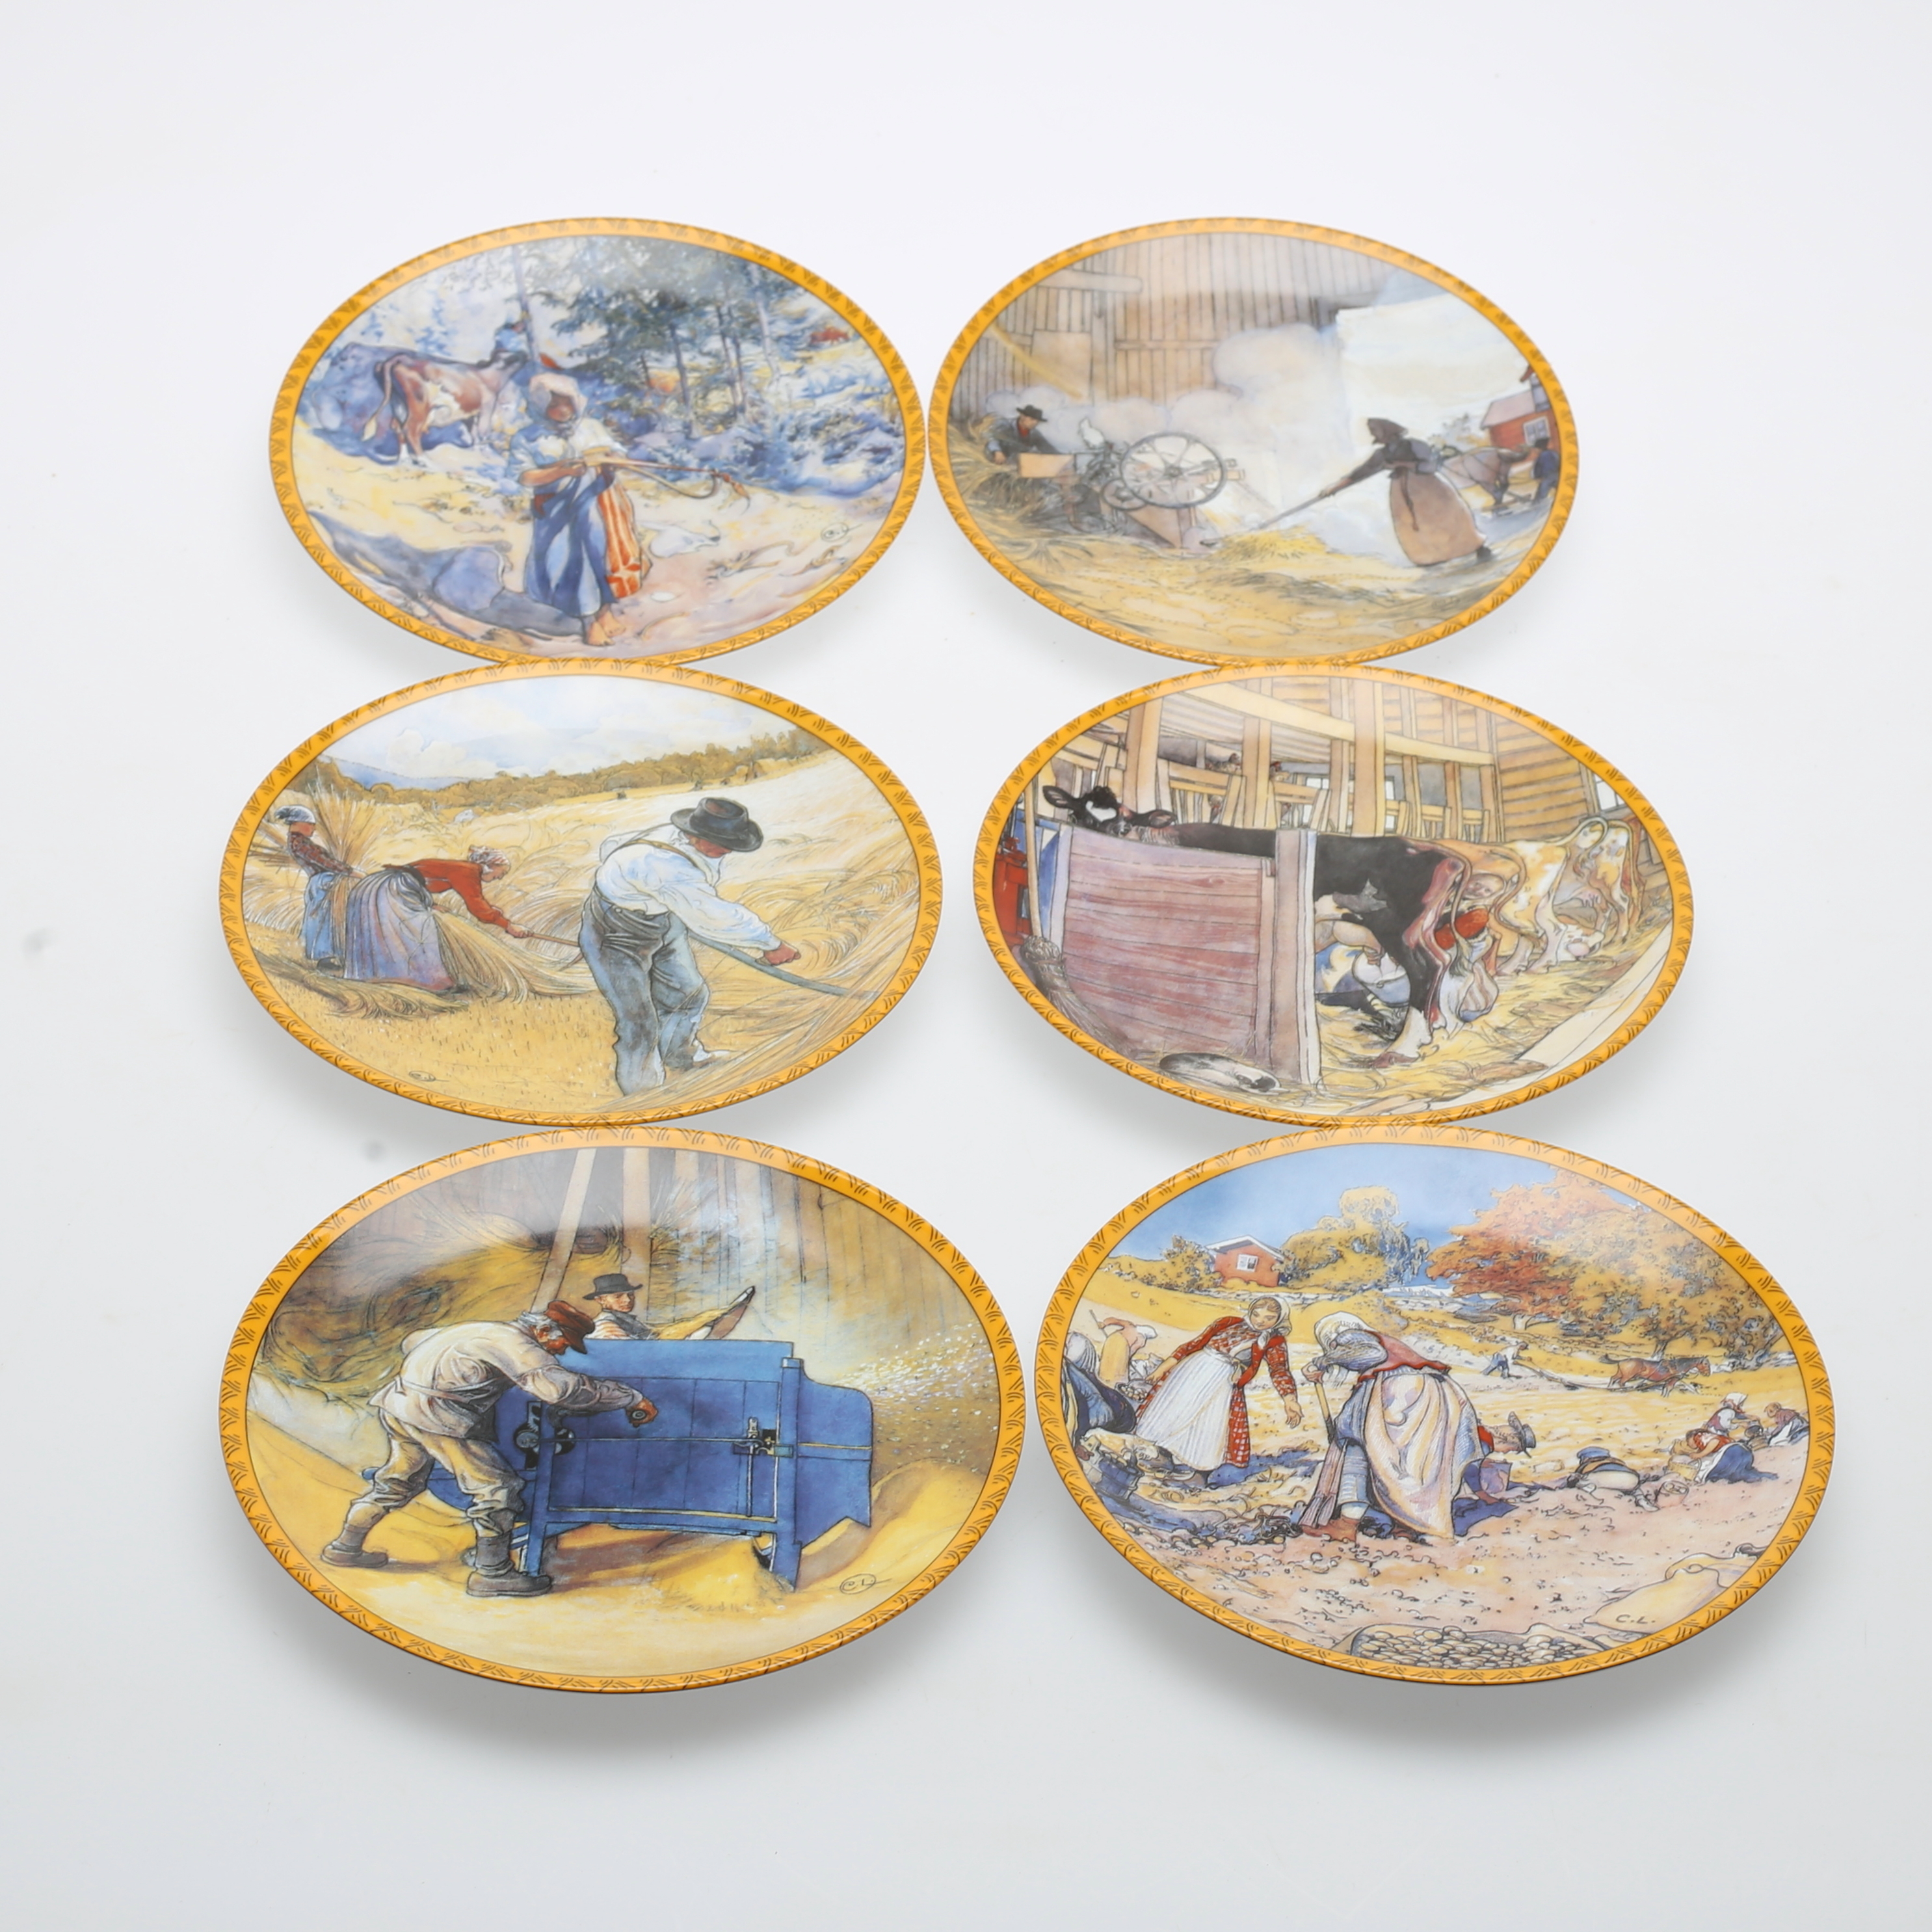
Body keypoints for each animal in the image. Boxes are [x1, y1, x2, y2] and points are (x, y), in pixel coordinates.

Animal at [360, 344, 527, 462]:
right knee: (411, 430)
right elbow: (483, 431)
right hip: (419, 405)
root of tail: (403, 358)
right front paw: (486, 450)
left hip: (399, 404)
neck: (488, 375)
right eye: (514, 358)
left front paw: (476, 449)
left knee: (397, 427)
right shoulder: (487, 406)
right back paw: (426, 461)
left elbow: (474, 432)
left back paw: (404, 460)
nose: (524, 354)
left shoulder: (470, 413)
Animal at [1608, 1355, 1711, 1391]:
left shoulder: (1669, 1381)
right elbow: (1669, 1388)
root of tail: (1622, 1360)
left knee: (1613, 1378)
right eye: (1706, 1363)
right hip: (1628, 1376)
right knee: (1621, 1382)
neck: (1678, 1366)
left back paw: (1610, 1388)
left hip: (1621, 1374)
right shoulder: (1674, 1379)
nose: (1708, 1374)